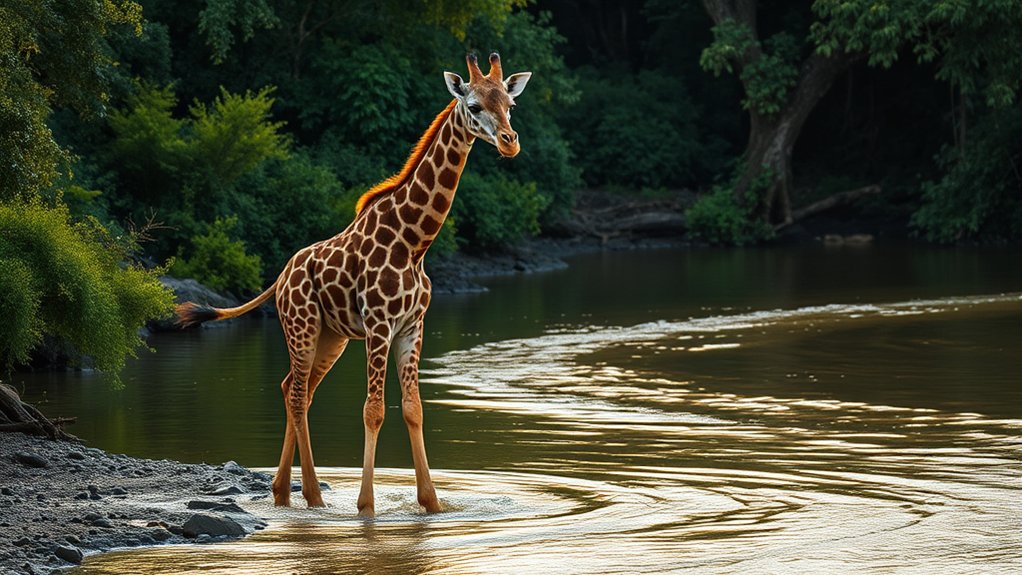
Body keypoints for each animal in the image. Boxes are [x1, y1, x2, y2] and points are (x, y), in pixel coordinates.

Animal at [175, 53, 531, 517]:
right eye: (474, 106)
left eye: (510, 103)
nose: (510, 142)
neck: (414, 242)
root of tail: (280, 278)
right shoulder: (379, 325)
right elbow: (374, 409)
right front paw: (366, 506)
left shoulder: (412, 326)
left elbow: (414, 409)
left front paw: (432, 503)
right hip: (303, 327)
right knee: (297, 393)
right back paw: (310, 493)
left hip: (332, 338)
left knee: (294, 389)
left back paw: (282, 491)